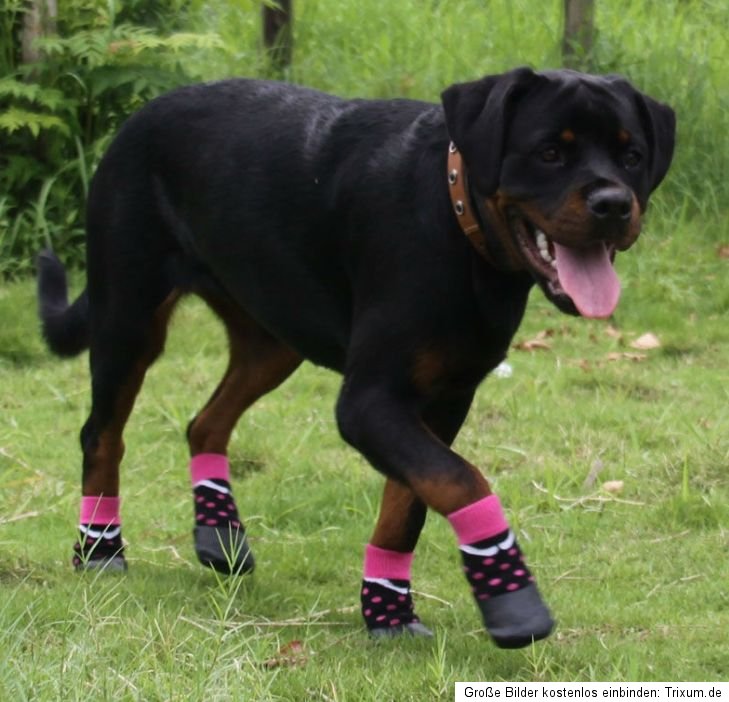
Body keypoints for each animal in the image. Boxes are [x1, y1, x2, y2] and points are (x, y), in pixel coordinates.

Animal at [37, 66, 672, 648]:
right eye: (548, 152)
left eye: (632, 155)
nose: (614, 204)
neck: (459, 226)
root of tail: (137, 118)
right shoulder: (370, 401)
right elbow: (461, 480)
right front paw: (510, 593)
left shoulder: (445, 397)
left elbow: (408, 505)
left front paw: (387, 610)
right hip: (130, 316)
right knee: (102, 434)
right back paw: (100, 549)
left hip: (273, 338)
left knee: (205, 422)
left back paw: (219, 538)